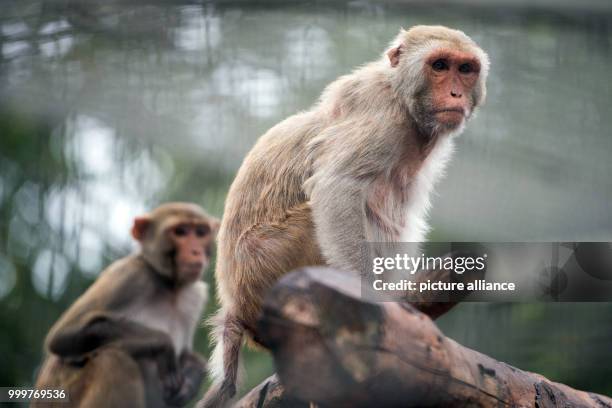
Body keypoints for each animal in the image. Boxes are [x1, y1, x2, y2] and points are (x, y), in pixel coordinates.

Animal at [33, 202, 220, 406]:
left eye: (201, 232)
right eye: (181, 231)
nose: (196, 251)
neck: (169, 286)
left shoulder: (195, 296)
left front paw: (194, 373)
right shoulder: (129, 275)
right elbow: (62, 337)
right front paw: (164, 344)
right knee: (113, 360)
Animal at [198, 25, 490, 408]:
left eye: (465, 69)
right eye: (439, 65)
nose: (456, 92)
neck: (402, 97)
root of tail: (236, 310)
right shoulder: (384, 120)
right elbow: (337, 186)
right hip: (269, 263)